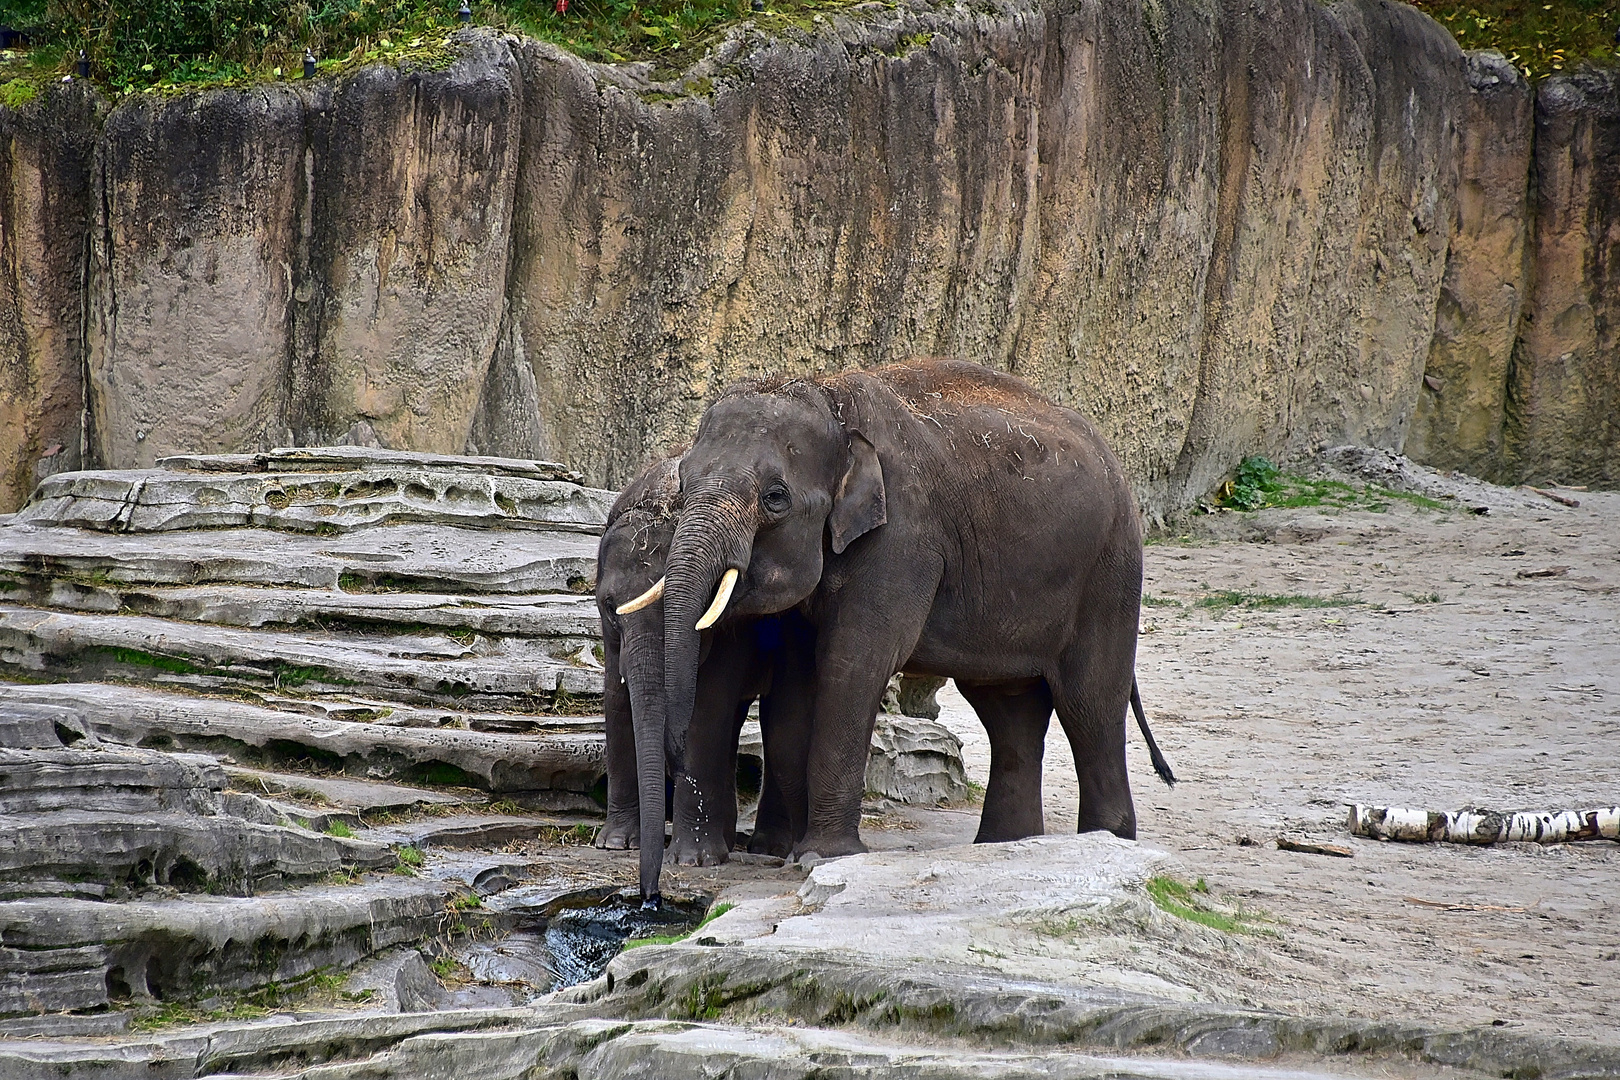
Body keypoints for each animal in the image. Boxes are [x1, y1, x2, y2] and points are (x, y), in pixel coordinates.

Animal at [592, 459, 810, 893]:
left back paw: (767, 848)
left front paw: (694, 861)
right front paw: (615, 844)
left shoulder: (732, 622)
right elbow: (616, 697)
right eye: (609, 607)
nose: (649, 895)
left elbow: (707, 703)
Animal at [631, 359, 1153, 900]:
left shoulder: (904, 536)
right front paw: (795, 854)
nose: (651, 895)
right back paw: (1004, 848)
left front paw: (821, 857)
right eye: (683, 486)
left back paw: (1105, 843)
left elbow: (854, 661)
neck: (830, 396)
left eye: (775, 497)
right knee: (1008, 708)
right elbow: (799, 679)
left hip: (1110, 572)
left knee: (1089, 702)